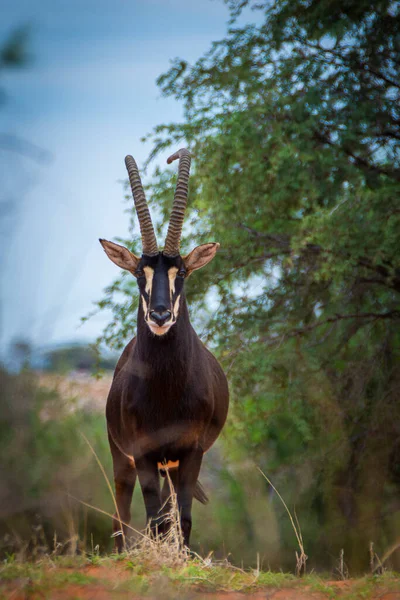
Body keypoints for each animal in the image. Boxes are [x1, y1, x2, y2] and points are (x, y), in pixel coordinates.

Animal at [100, 149, 230, 548]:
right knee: (122, 513)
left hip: (169, 466)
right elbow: (154, 520)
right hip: (122, 458)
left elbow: (182, 521)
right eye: (138, 273)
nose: (160, 315)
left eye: (182, 272)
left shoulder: (191, 453)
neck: (166, 389)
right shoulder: (142, 454)